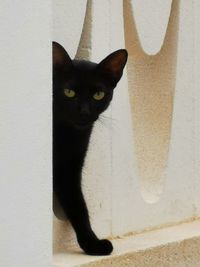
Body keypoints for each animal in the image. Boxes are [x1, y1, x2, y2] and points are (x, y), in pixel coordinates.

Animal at [52, 42, 128, 258]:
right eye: (69, 92)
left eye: (98, 95)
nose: (84, 111)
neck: (69, 135)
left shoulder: (70, 168)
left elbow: (78, 204)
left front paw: (91, 243)